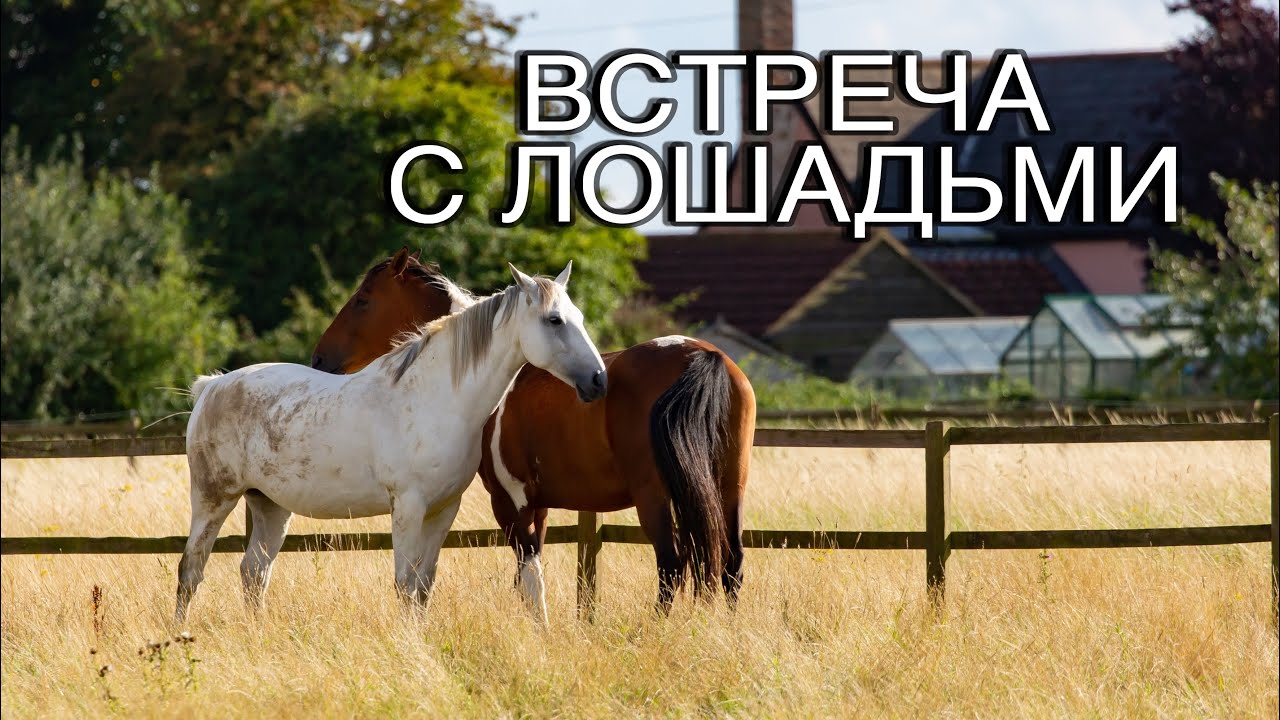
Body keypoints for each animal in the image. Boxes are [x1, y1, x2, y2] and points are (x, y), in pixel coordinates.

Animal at [176, 263, 606, 621]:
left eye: (580, 318)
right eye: (554, 320)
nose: (598, 380)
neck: (437, 397)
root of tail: (211, 386)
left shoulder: (443, 510)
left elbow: (424, 587)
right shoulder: (408, 507)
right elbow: (404, 585)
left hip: (270, 507)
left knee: (254, 572)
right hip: (213, 499)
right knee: (191, 569)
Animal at [312, 248, 756, 619]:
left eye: (363, 300)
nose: (320, 357)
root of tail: (703, 355)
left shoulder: (510, 502)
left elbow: (528, 576)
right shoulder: (538, 505)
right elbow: (527, 578)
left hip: (655, 495)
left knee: (672, 563)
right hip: (728, 487)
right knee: (730, 563)